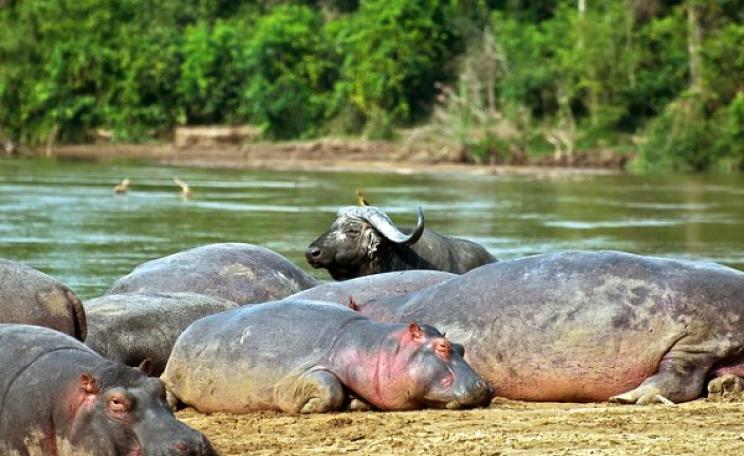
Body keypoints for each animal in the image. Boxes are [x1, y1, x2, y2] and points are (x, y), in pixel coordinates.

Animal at [161, 300, 491, 413]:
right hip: (173, 374)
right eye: (443, 347)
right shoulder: (299, 375)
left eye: (461, 347)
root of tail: (188, 329)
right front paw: (308, 408)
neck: (375, 347)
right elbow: (328, 387)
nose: (485, 387)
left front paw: (356, 403)